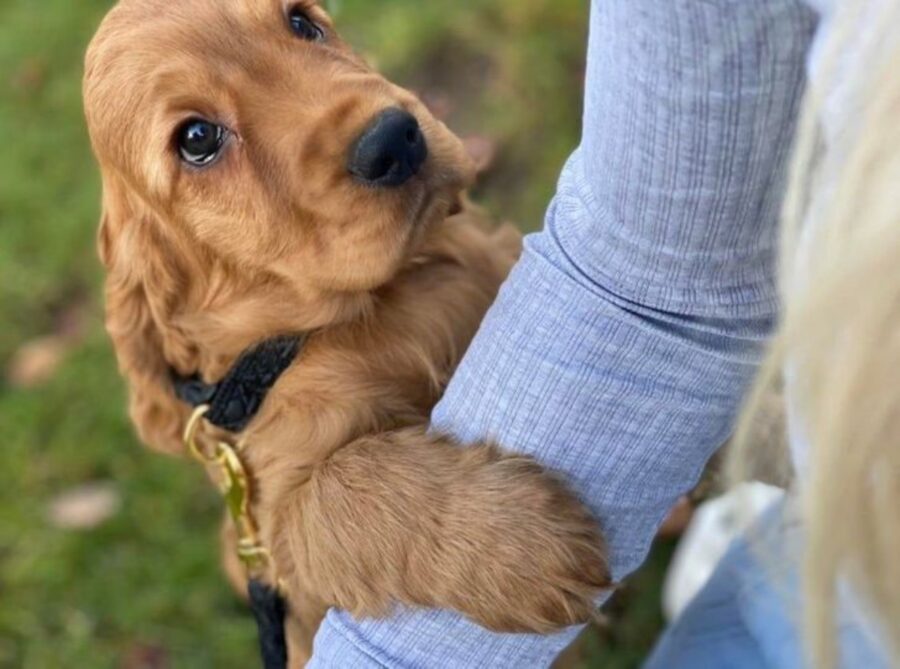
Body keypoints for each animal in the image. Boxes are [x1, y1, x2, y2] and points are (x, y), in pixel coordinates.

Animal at [84, 0, 608, 660]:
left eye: (302, 22)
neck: (374, 309)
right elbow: (336, 488)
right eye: (197, 139)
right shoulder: (269, 531)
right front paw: (522, 544)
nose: (394, 139)